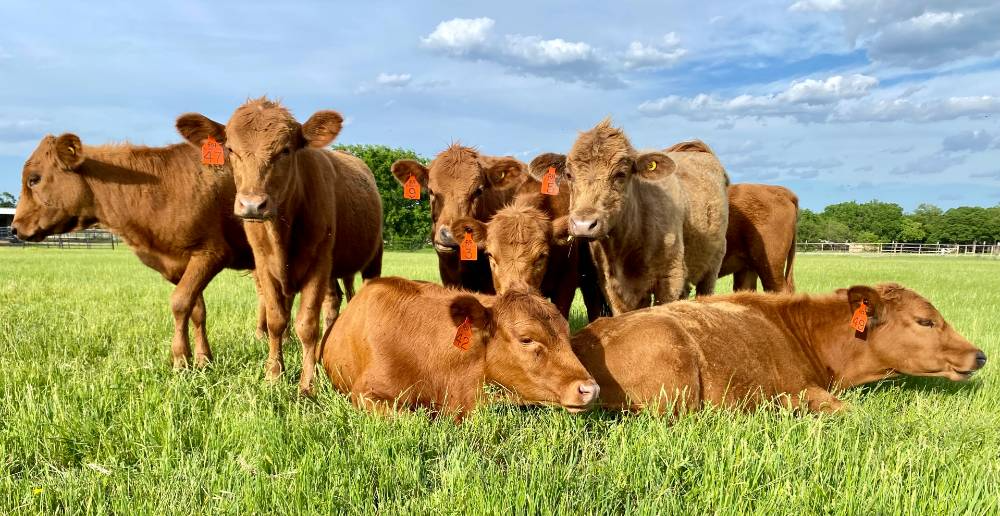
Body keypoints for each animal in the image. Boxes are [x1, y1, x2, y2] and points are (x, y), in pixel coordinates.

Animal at [11, 134, 256, 369]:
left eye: (34, 179)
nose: (14, 227)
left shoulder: (211, 253)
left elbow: (179, 303)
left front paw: (180, 360)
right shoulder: (180, 267)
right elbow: (196, 310)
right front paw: (203, 359)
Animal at [177, 98, 383, 395]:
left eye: (285, 150)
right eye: (230, 149)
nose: (252, 204)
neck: (281, 232)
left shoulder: (318, 262)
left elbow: (307, 324)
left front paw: (307, 385)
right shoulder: (264, 264)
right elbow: (276, 320)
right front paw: (274, 374)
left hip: (372, 257)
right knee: (333, 303)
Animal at [533, 120, 729, 315]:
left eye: (620, 174)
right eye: (569, 175)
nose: (583, 224)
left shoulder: (671, 278)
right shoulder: (611, 285)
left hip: (712, 266)